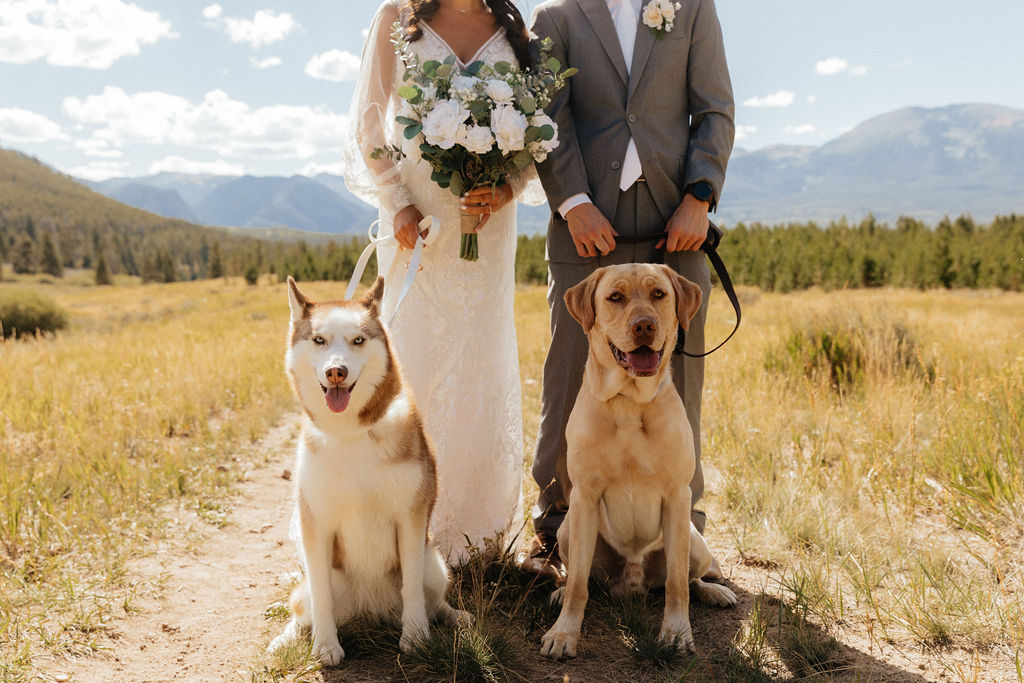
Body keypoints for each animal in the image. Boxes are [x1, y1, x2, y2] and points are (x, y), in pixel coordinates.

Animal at [270, 274, 466, 663]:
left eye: (358, 340)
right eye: (319, 340)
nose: (336, 371)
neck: (350, 433)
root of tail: (369, 607)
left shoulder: (410, 517)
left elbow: (411, 590)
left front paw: (416, 637)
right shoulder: (316, 523)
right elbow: (321, 598)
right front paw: (326, 646)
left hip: (435, 565)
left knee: (434, 600)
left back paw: (454, 616)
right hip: (312, 586)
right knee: (303, 609)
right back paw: (285, 639)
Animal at [536, 264, 737, 663]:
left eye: (659, 294)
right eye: (615, 297)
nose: (644, 325)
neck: (629, 401)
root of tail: (631, 582)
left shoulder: (677, 496)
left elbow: (677, 585)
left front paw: (676, 633)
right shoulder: (584, 497)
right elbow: (578, 583)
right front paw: (564, 633)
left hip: (695, 542)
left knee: (690, 577)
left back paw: (714, 591)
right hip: (568, 529)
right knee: (582, 577)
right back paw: (558, 593)